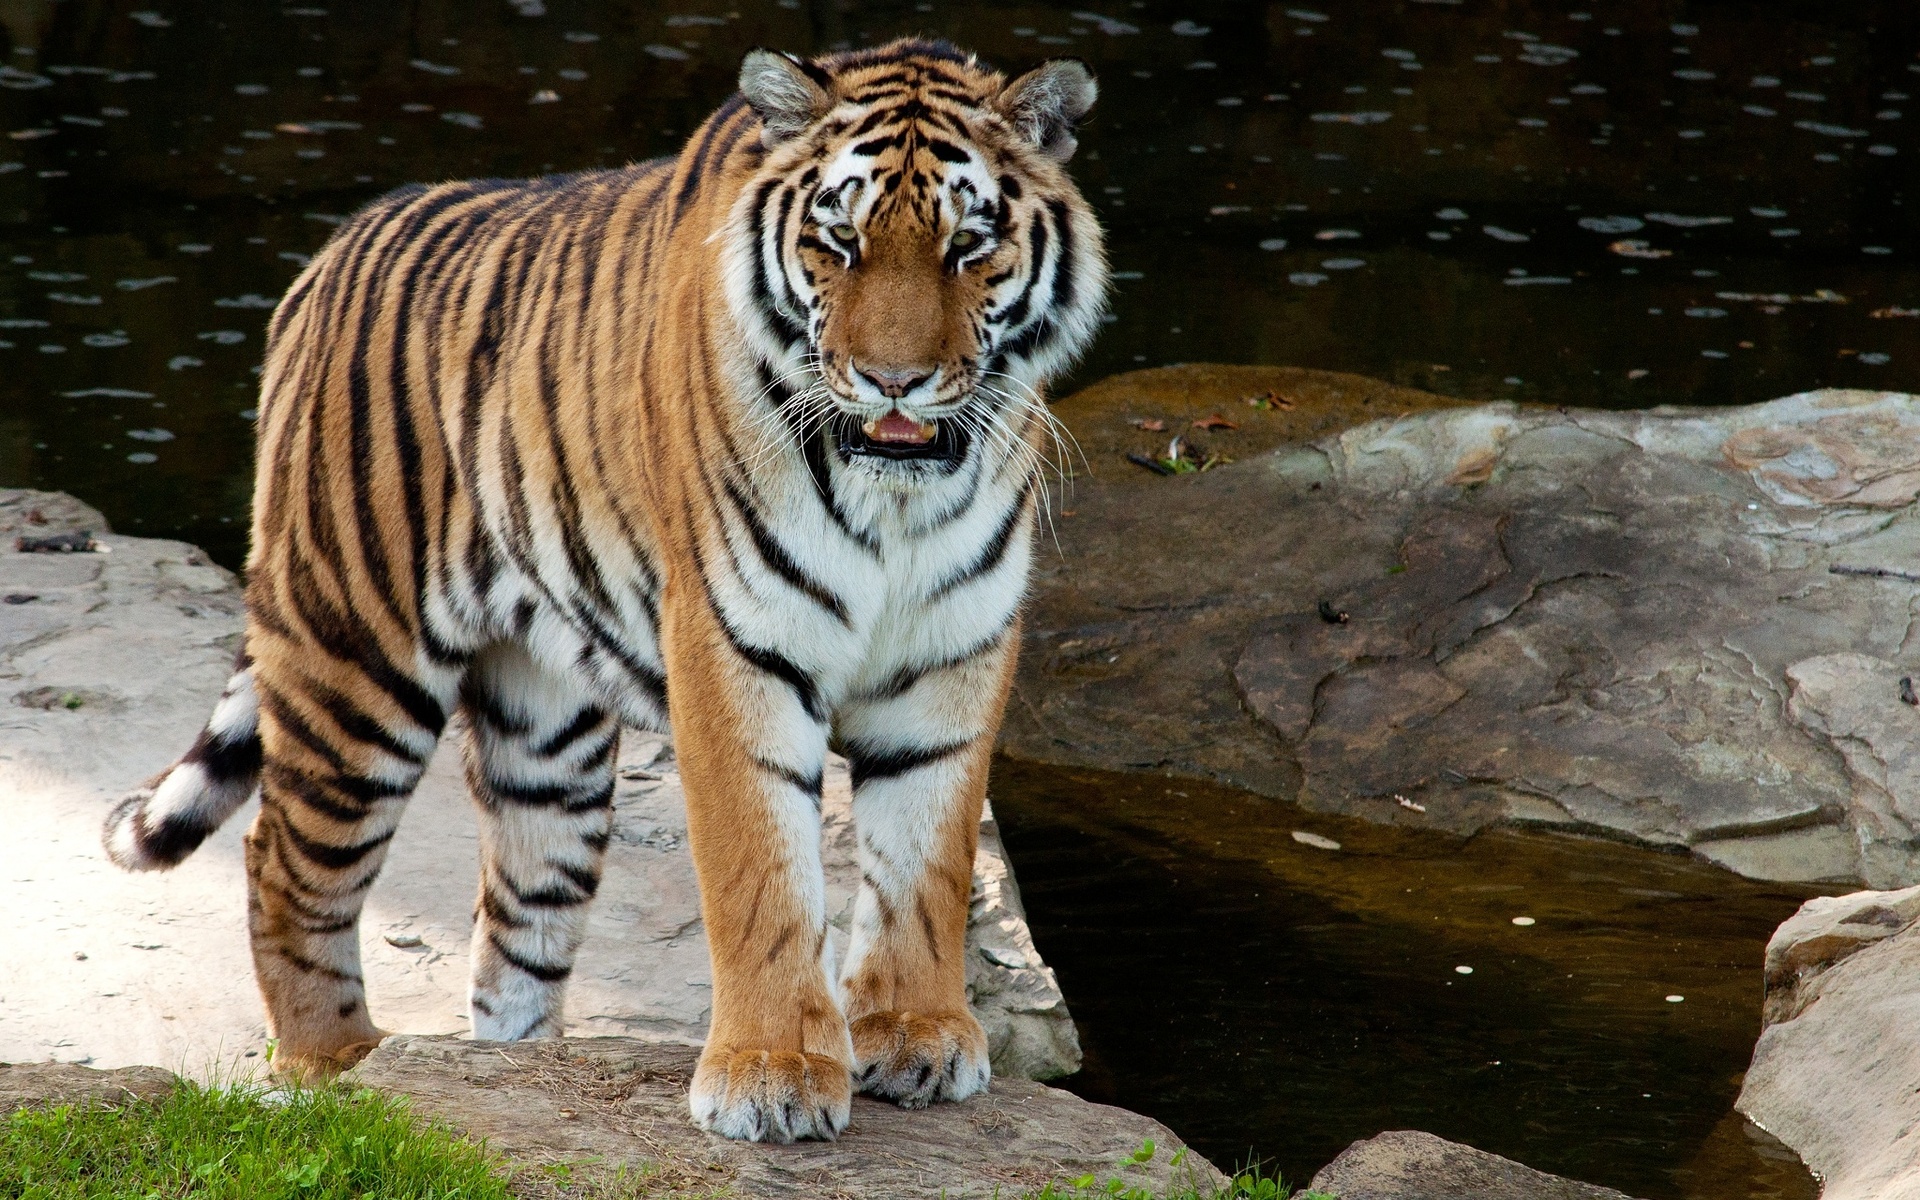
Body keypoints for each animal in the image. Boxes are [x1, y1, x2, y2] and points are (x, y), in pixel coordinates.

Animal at [97, 39, 1105, 1144]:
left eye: (969, 247)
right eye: (838, 243)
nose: (893, 382)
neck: (895, 502)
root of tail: (328, 257)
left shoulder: (955, 647)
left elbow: (928, 854)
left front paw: (916, 1035)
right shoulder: (733, 642)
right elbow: (762, 869)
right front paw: (772, 1073)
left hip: (547, 739)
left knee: (514, 928)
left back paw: (513, 1076)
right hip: (356, 660)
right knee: (284, 862)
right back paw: (342, 1071)